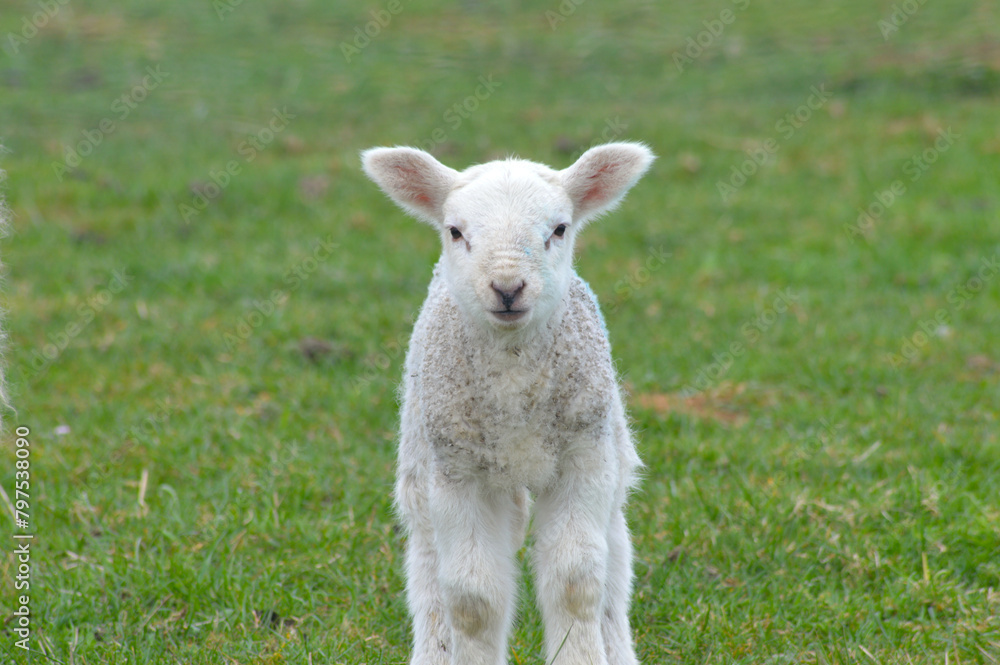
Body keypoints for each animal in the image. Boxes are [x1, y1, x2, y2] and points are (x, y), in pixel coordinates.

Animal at [364, 141, 652, 664]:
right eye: (455, 231)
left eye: (559, 229)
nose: (507, 288)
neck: (514, 378)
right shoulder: (457, 472)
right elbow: (473, 599)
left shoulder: (584, 457)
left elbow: (576, 582)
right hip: (419, 453)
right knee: (428, 562)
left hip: (612, 448)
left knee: (615, 561)